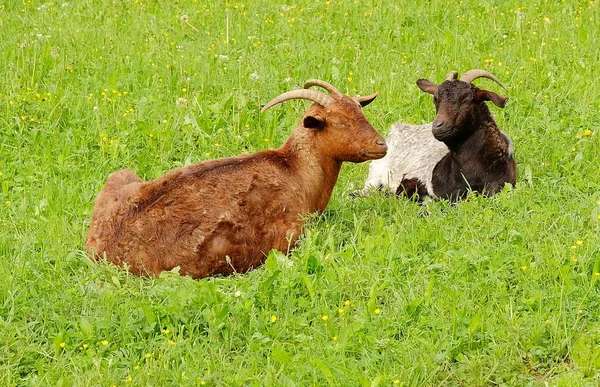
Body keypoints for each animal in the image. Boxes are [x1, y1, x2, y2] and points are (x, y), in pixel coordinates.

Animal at [85, 80, 390, 278]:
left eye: (360, 112)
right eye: (340, 122)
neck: (295, 170)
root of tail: (103, 251)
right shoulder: (290, 235)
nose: (381, 144)